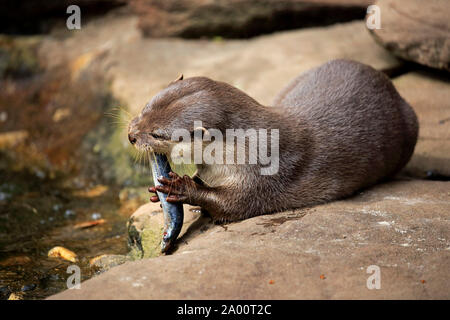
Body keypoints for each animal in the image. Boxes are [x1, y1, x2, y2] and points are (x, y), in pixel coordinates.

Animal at [126, 60, 418, 225]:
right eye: (144, 107)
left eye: (157, 134)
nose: (131, 135)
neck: (237, 150)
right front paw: (157, 193)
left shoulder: (261, 175)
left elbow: (231, 205)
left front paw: (180, 185)